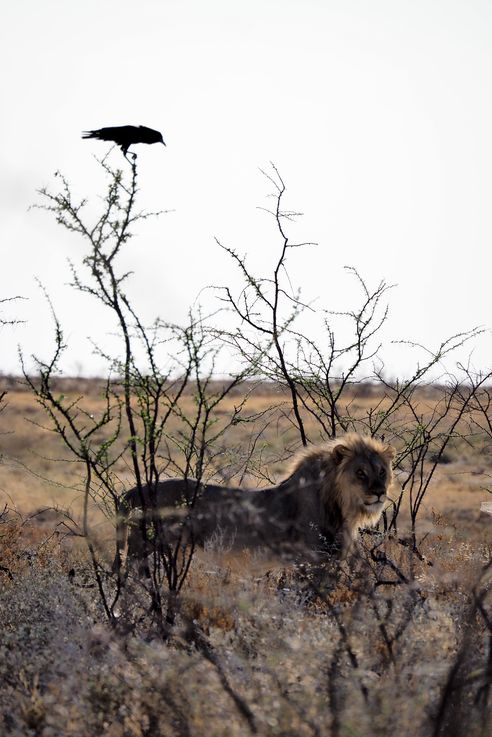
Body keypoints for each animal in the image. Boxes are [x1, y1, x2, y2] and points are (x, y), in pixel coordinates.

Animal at [114, 433, 395, 570]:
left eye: (381, 471)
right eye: (360, 473)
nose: (379, 492)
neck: (341, 508)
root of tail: (134, 490)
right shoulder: (310, 563)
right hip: (145, 549)